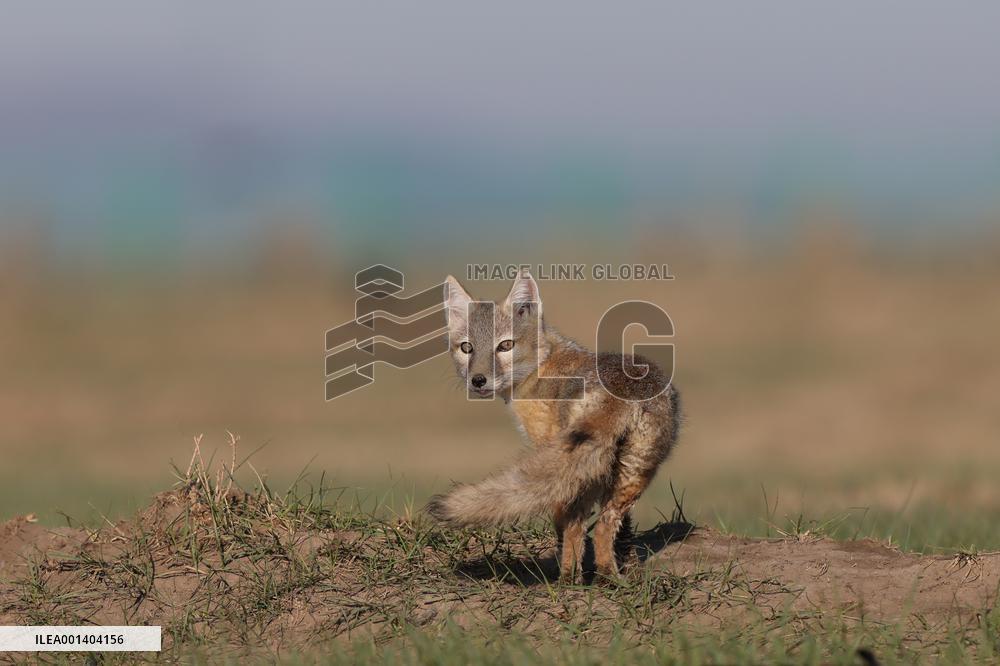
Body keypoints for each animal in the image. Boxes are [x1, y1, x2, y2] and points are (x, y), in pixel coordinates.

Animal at [426, 270, 682, 583]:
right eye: (467, 348)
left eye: (505, 345)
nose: (478, 381)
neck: (542, 366)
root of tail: (622, 390)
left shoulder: (547, 443)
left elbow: (562, 522)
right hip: (633, 470)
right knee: (605, 525)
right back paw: (609, 578)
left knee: (578, 525)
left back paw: (568, 580)